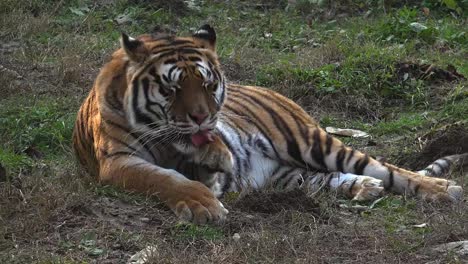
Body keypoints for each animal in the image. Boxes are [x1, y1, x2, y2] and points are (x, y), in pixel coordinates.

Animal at [73, 24, 464, 224]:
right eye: (172, 88)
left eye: (207, 85)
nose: (202, 118)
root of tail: (271, 90)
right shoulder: (118, 160)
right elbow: (163, 178)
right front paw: (203, 203)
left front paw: (214, 166)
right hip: (286, 176)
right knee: (323, 179)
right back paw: (364, 187)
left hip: (310, 141)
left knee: (389, 169)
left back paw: (443, 189)